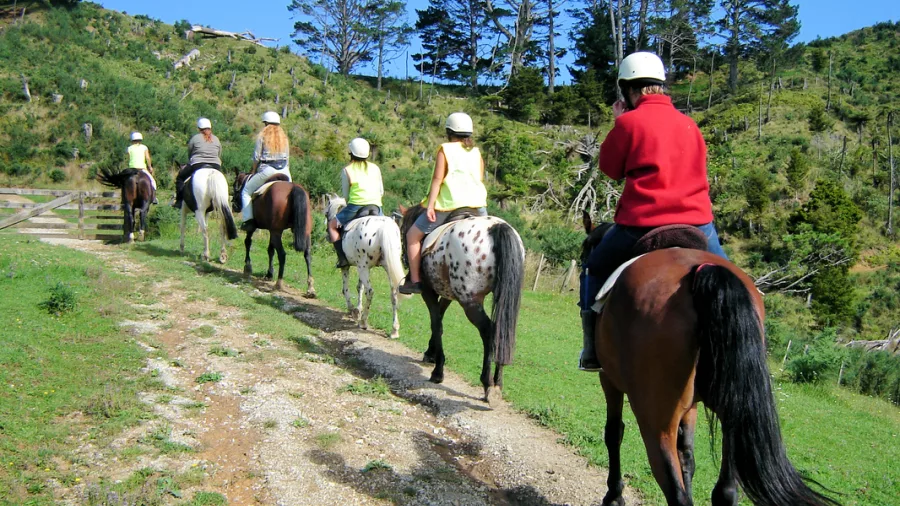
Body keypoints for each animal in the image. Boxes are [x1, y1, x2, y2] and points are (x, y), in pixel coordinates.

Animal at [324, 195, 404, 338]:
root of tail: (383, 228)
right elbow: (359, 287)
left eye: (326, 213)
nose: (327, 235)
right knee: (393, 293)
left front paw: (353, 311)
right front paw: (358, 309)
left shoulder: (348, 267)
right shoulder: (361, 266)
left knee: (370, 291)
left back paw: (363, 322)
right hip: (384, 267)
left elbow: (346, 289)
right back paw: (394, 330)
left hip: (363, 268)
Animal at [398, 204, 525, 405]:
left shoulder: (428, 292)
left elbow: (436, 324)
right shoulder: (447, 294)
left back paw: (488, 383)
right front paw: (431, 353)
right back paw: (498, 384)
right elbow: (439, 319)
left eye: (403, 231)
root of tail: (496, 227)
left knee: (488, 331)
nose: (404, 258)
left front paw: (438, 371)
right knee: (501, 332)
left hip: (470, 302)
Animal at [581, 213, 838, 506]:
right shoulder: (691, 405)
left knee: (675, 489)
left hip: (655, 420)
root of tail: (702, 270)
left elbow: (614, 432)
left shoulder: (609, 379)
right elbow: (687, 454)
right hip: (734, 411)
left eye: (586, 248)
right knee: (725, 490)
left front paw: (614, 496)